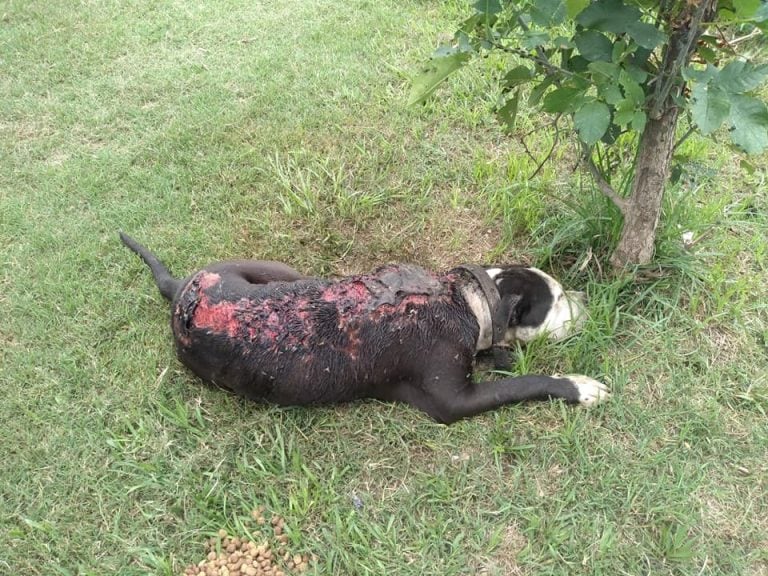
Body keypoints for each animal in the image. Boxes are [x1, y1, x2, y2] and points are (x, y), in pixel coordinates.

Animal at [120, 232, 608, 426]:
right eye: (557, 301)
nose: (587, 302)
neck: (466, 303)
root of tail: (182, 290)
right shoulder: (453, 401)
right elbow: (526, 383)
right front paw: (579, 386)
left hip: (282, 272)